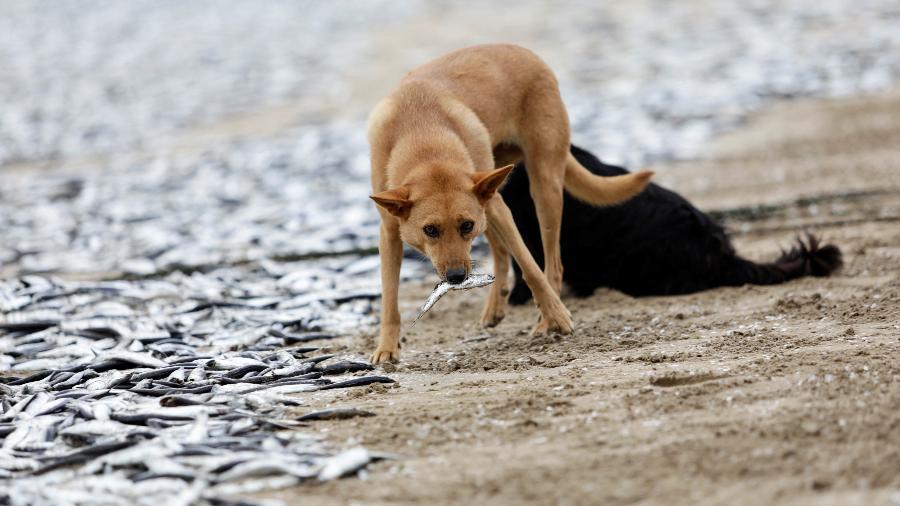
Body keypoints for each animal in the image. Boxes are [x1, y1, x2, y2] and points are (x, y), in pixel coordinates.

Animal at [370, 45, 652, 364]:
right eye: (430, 230)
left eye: (465, 226)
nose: (456, 278)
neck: (424, 140)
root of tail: (526, 52)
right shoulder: (389, 232)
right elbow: (389, 299)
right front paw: (386, 348)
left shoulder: (496, 210)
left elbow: (531, 268)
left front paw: (557, 315)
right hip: (492, 189)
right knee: (500, 250)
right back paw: (496, 304)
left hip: (541, 188)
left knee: (552, 264)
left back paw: (545, 319)